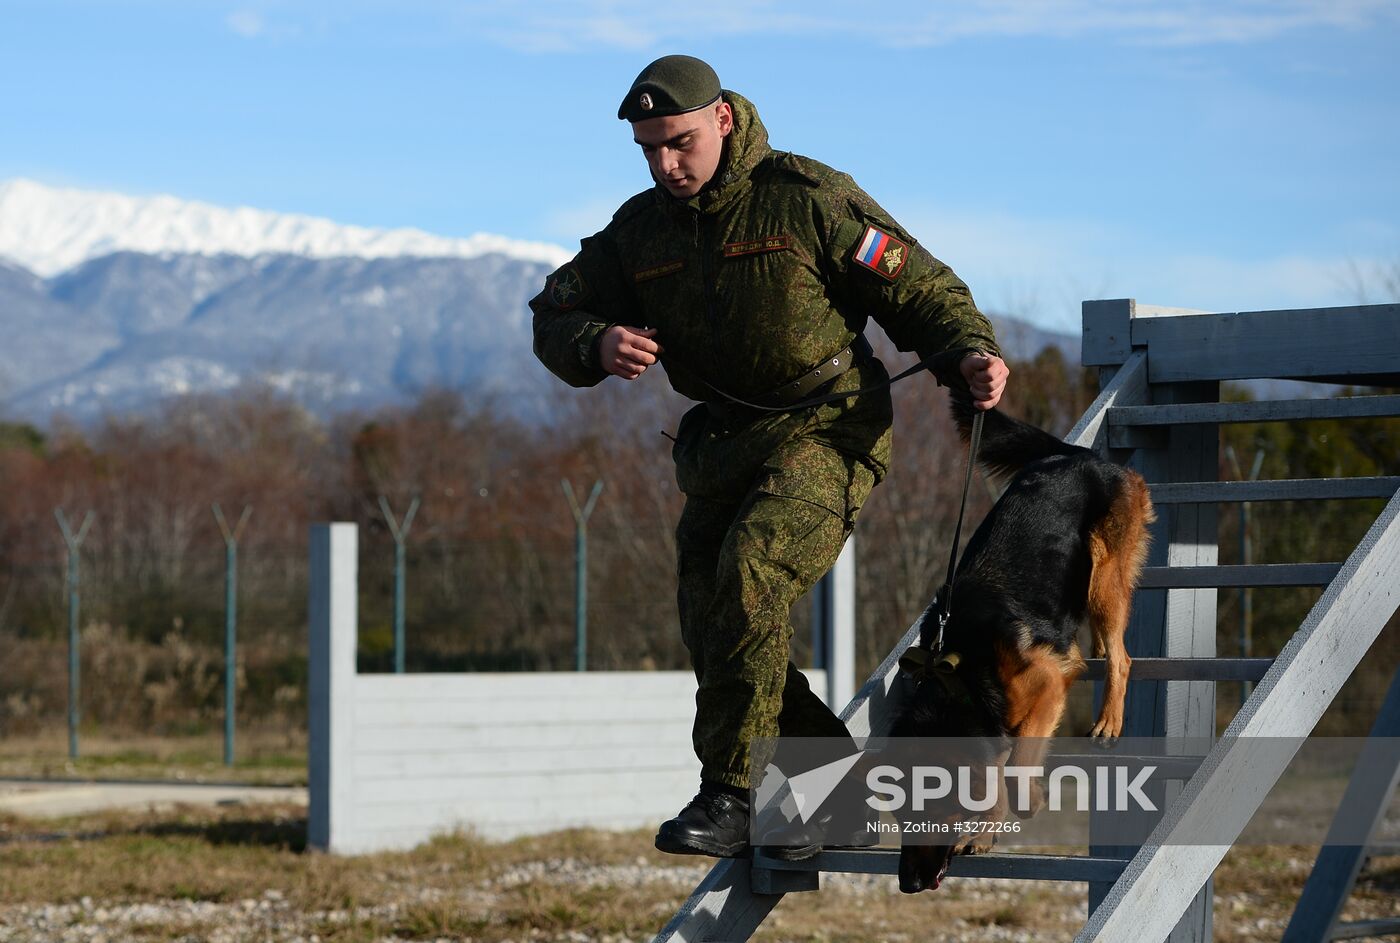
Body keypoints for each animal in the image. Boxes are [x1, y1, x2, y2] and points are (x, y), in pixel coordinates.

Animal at [890, 394, 1153, 889]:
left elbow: (1013, 769)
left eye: (925, 815)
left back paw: (1109, 718)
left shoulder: (1047, 686)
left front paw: (1028, 800)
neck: (961, 679)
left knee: (1123, 657)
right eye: (898, 819)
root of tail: (1074, 455)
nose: (907, 885)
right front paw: (986, 831)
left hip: (1105, 574)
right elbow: (996, 773)